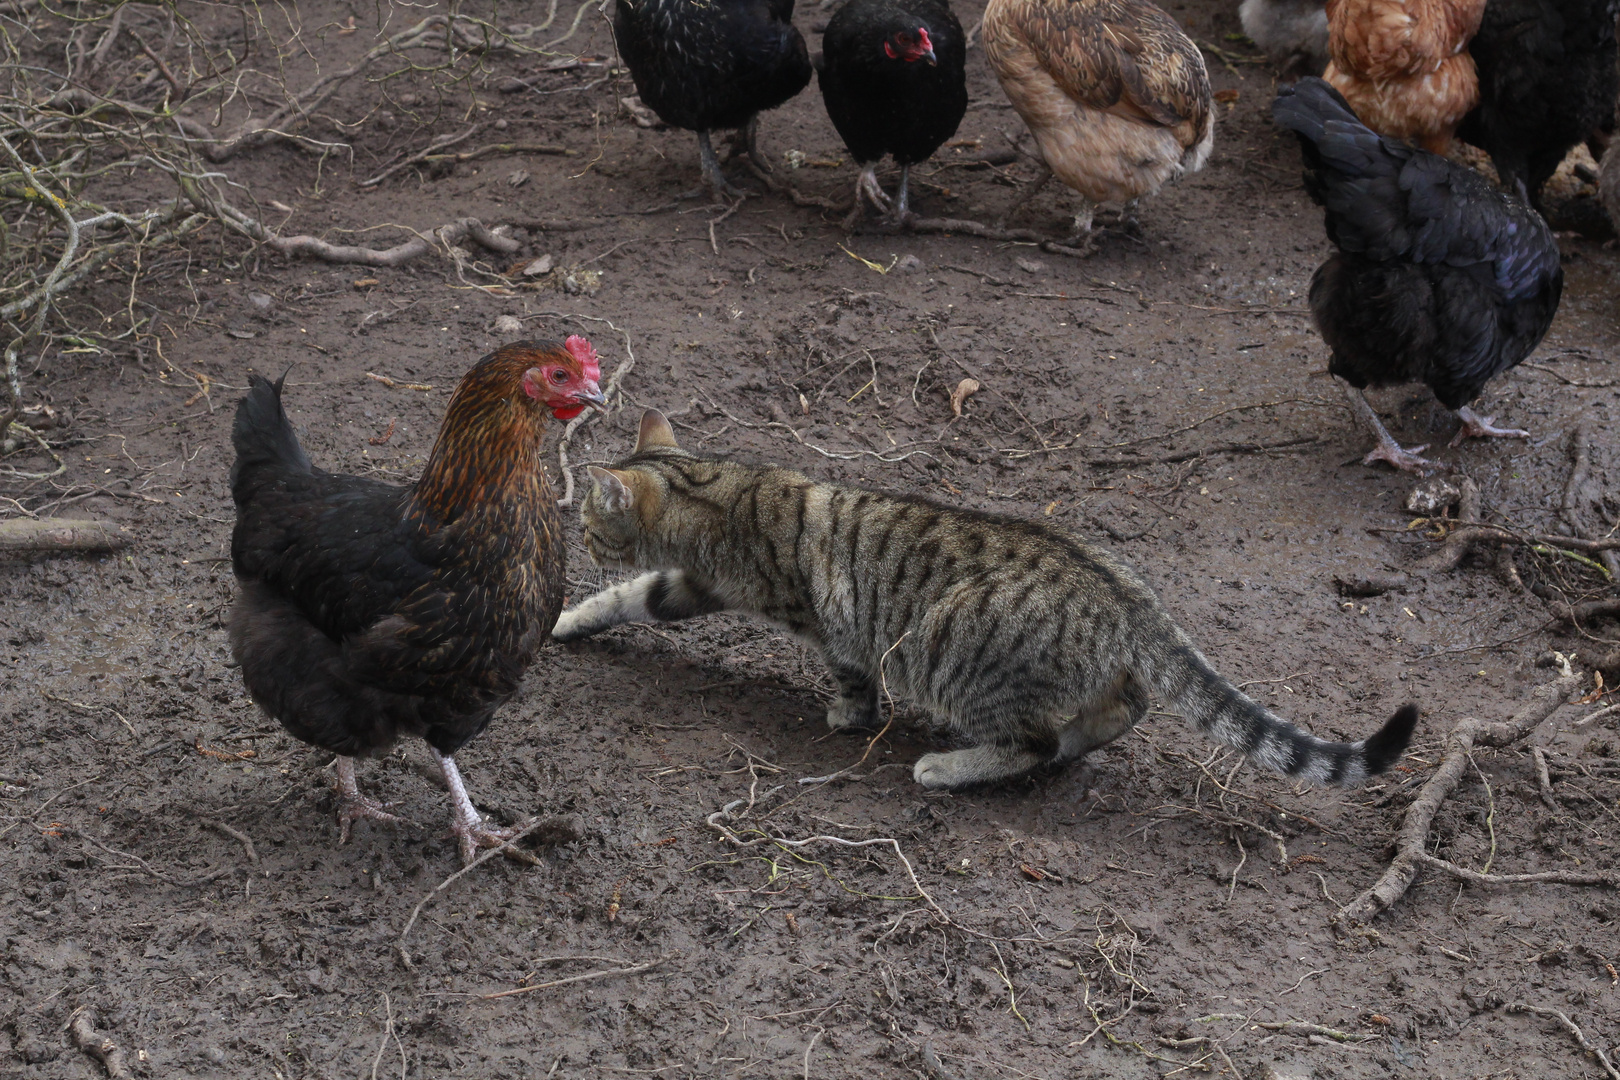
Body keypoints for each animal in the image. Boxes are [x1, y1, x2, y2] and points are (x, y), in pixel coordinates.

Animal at [557, 409, 1419, 790]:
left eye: (591, 526)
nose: (579, 542)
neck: (719, 487)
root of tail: (1128, 597)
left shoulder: (820, 619)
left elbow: (851, 677)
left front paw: (846, 716)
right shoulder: (689, 584)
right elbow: (630, 598)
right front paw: (569, 619)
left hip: (960, 654)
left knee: (1032, 744)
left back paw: (947, 766)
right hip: (1087, 670)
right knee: (1121, 709)